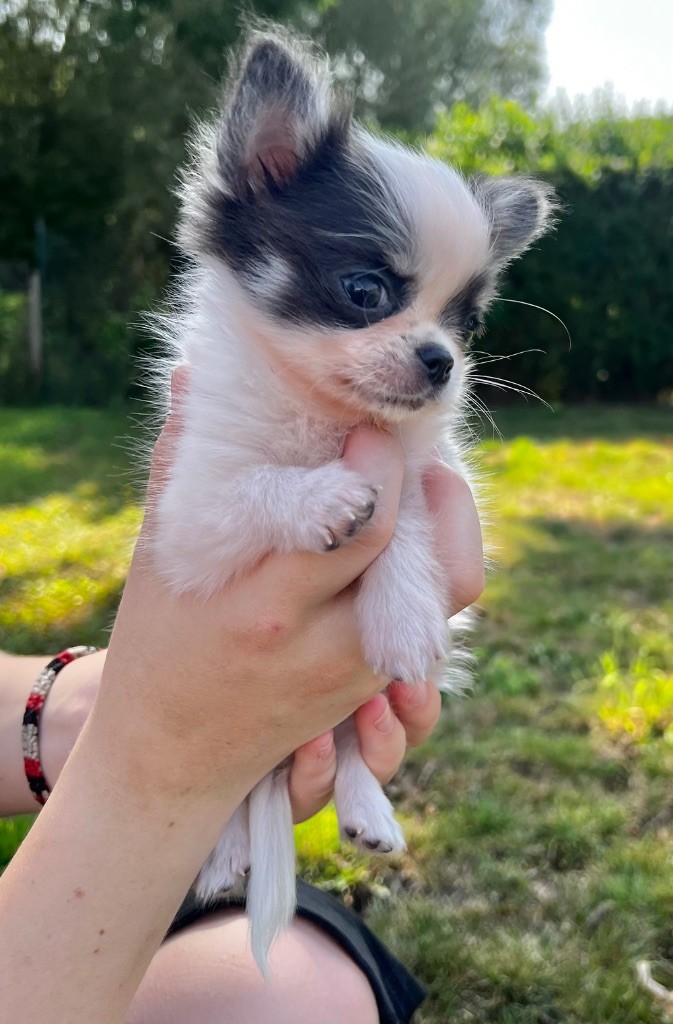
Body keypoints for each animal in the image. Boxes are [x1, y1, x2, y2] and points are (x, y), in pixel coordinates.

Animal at [148, 24, 554, 971]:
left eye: (467, 324)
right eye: (365, 291)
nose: (442, 362)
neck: (326, 419)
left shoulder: (427, 475)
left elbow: (402, 524)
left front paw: (401, 616)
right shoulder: (192, 518)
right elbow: (262, 485)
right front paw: (329, 500)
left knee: (339, 740)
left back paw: (367, 809)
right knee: (232, 796)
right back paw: (222, 856)